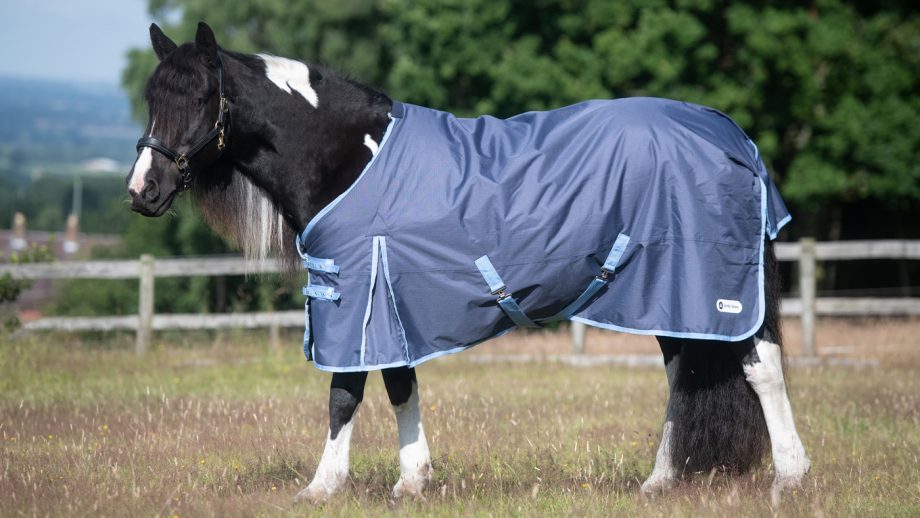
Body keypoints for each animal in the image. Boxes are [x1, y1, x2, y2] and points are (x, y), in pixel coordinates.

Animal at [127, 23, 810, 504]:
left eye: (201, 96)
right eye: (152, 98)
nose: (142, 191)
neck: (349, 157)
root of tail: (731, 136)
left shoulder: (357, 294)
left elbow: (345, 393)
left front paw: (322, 488)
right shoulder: (388, 298)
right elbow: (398, 386)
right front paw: (411, 480)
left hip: (714, 288)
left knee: (763, 369)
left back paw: (790, 480)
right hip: (667, 295)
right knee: (683, 377)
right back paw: (660, 482)